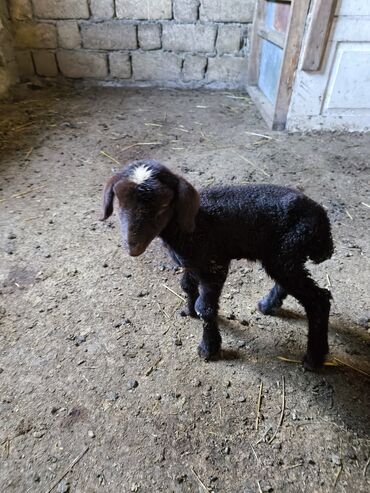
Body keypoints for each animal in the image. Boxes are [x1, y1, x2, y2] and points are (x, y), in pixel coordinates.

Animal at [100, 160, 332, 370]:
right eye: (120, 201)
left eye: (165, 204)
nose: (133, 247)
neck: (192, 224)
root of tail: (323, 222)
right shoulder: (192, 263)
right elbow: (187, 286)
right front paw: (189, 311)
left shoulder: (214, 264)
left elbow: (206, 307)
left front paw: (208, 348)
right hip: (284, 255)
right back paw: (268, 305)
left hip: (287, 251)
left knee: (319, 300)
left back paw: (314, 358)